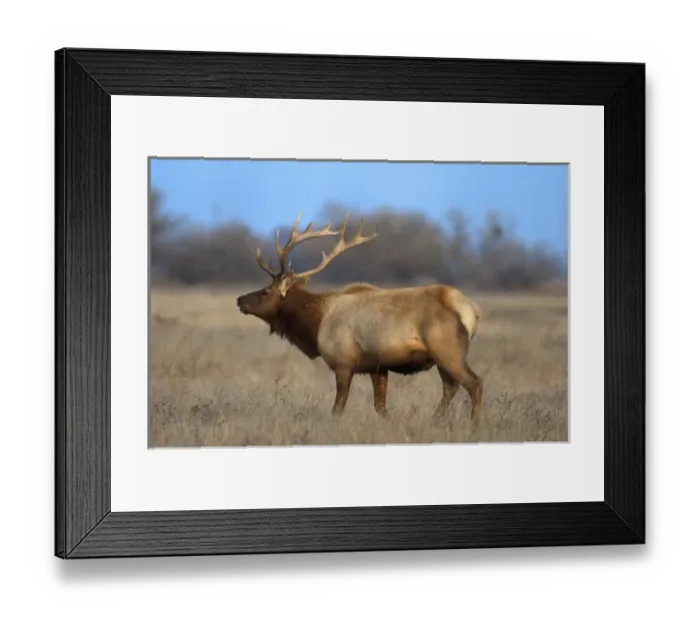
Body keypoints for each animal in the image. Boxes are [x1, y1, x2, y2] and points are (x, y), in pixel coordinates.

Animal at [236, 213, 484, 424]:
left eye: (265, 291)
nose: (239, 300)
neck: (316, 323)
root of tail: (471, 310)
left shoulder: (343, 363)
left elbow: (337, 409)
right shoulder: (378, 366)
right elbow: (381, 407)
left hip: (448, 351)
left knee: (474, 383)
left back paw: (475, 423)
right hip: (443, 357)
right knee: (451, 387)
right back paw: (435, 420)